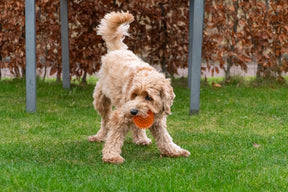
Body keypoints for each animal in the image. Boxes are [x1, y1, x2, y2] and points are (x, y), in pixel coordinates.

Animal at [88, 11, 191, 164]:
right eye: (134, 94)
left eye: (149, 97)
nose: (133, 111)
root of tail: (118, 49)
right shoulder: (121, 115)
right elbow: (114, 138)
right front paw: (111, 156)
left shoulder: (157, 120)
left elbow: (165, 138)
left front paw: (174, 151)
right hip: (101, 99)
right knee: (106, 121)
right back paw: (99, 136)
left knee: (134, 127)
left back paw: (141, 139)